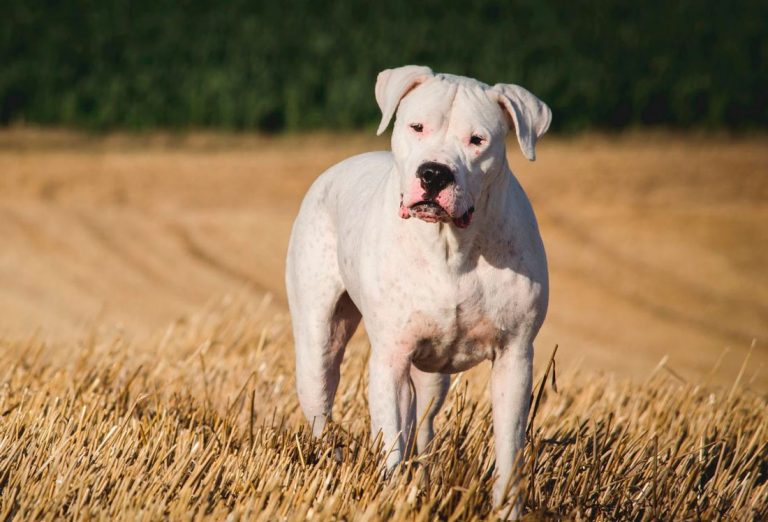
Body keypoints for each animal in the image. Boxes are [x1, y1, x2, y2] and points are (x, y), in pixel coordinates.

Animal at [284, 64, 548, 512]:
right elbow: (391, 439)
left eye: (477, 140)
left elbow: (509, 447)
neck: (451, 247)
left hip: (432, 378)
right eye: (417, 126)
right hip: (318, 345)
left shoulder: (515, 357)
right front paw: (389, 498)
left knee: (422, 425)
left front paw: (506, 508)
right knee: (323, 405)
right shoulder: (390, 358)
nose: (435, 172)